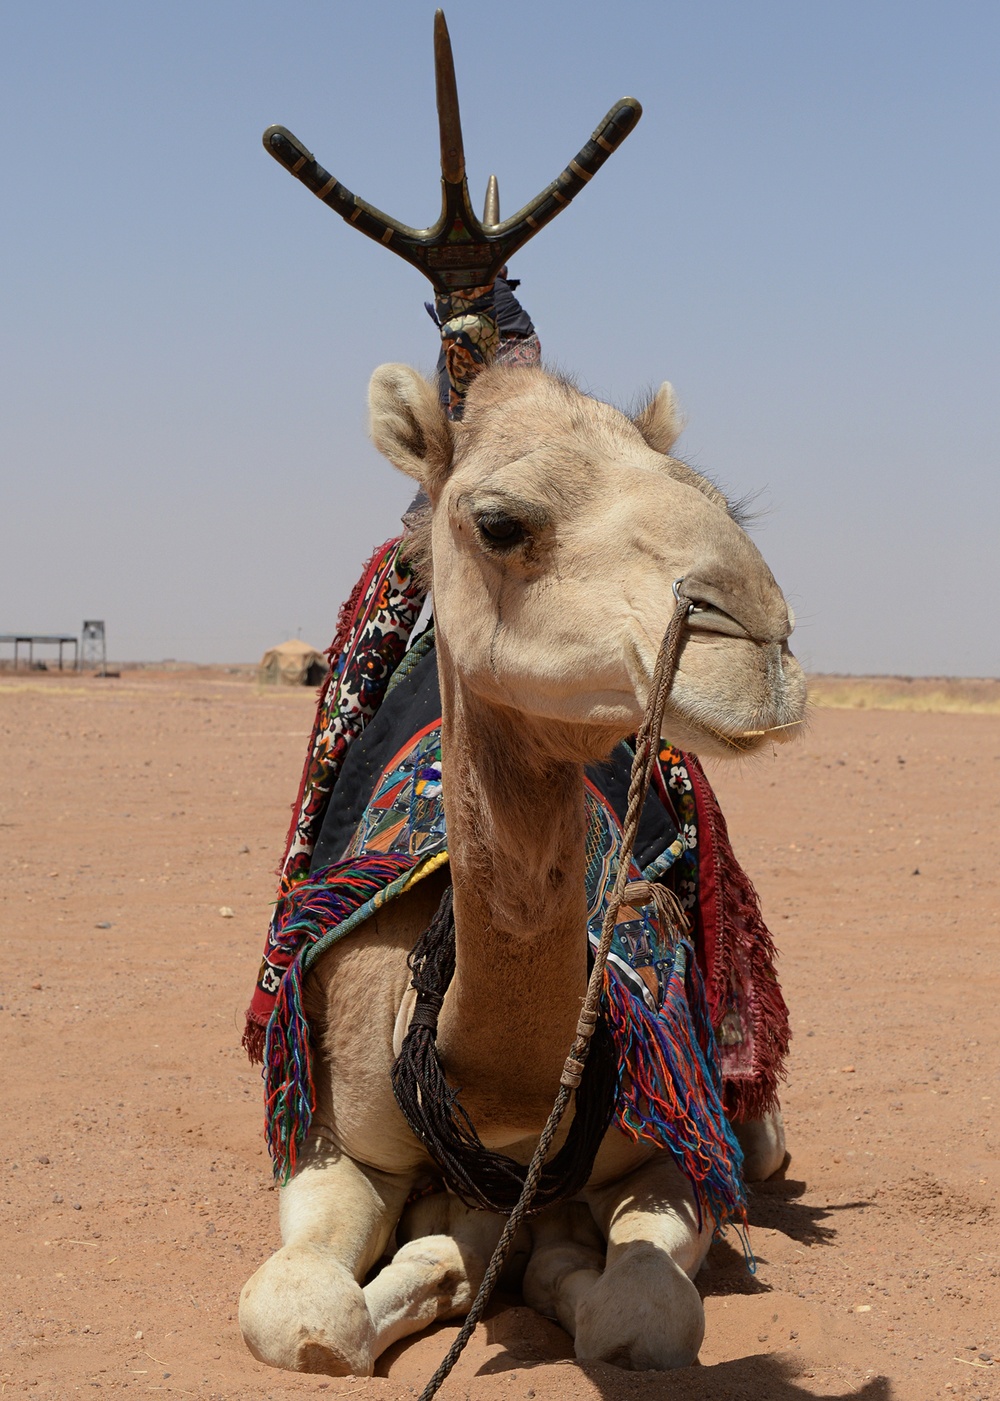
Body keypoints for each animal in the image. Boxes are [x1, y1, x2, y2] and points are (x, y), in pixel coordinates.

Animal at [238, 355, 806, 1372]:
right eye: (500, 522)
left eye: (718, 501)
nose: (759, 639)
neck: (501, 1091)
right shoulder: (335, 1142)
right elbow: (304, 1315)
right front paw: (444, 1261)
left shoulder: (673, 1146)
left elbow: (641, 1316)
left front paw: (527, 1266)